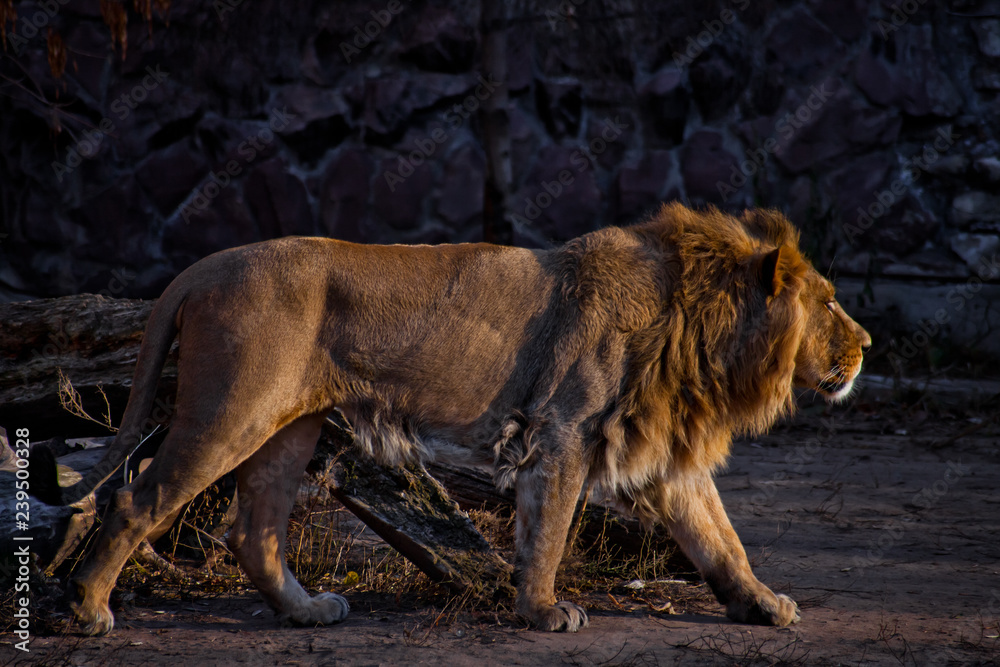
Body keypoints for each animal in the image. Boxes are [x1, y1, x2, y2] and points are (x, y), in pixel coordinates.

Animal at [31, 203, 870, 635]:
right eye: (830, 302)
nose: (866, 345)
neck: (705, 329)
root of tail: (199, 268)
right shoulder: (562, 431)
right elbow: (549, 528)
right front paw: (541, 610)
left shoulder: (663, 451)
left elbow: (720, 537)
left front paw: (763, 603)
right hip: (229, 410)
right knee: (136, 498)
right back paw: (87, 610)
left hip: (287, 425)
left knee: (254, 529)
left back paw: (306, 611)